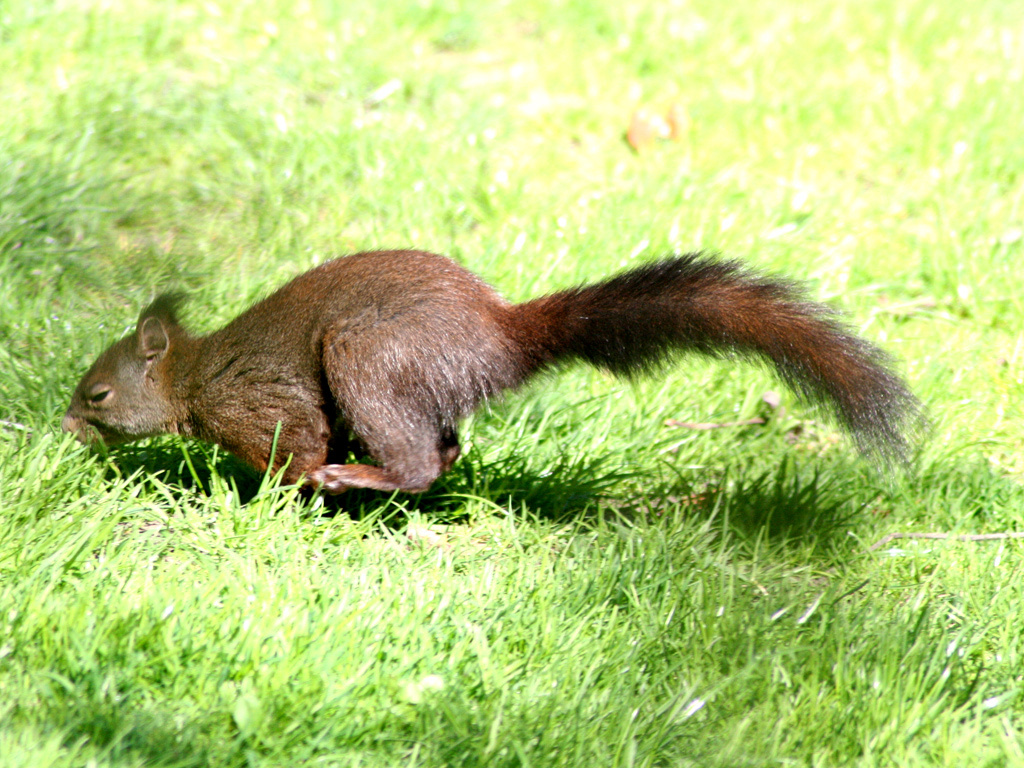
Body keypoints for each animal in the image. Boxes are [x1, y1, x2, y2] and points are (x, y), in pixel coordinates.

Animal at [61, 249, 929, 495]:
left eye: (98, 392)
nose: (66, 426)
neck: (190, 379)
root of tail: (500, 335)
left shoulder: (253, 403)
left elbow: (296, 445)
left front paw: (284, 489)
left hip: (366, 356)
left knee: (418, 463)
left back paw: (362, 477)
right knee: (444, 449)